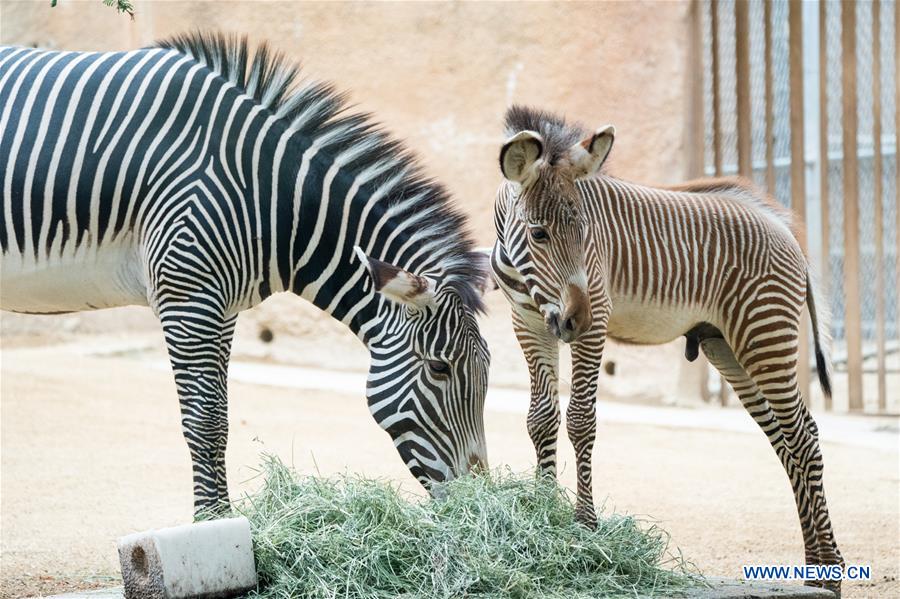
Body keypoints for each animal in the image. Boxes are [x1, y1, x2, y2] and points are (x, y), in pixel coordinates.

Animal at [1, 34, 492, 516]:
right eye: (439, 368)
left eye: (487, 367)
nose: (477, 495)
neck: (267, 195)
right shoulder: (187, 296)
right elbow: (203, 419)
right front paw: (208, 521)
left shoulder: (222, 306)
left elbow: (220, 415)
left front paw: (228, 518)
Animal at [492, 106, 844, 596]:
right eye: (539, 234)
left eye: (587, 231)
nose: (575, 320)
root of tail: (782, 226)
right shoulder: (526, 321)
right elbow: (540, 419)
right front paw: (541, 517)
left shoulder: (596, 317)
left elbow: (581, 421)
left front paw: (584, 527)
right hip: (726, 345)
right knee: (784, 439)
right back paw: (813, 569)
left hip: (764, 333)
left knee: (804, 436)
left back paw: (829, 571)